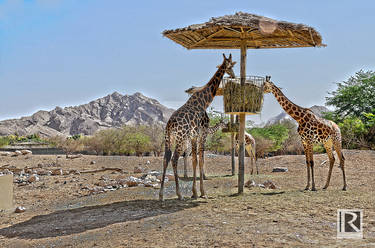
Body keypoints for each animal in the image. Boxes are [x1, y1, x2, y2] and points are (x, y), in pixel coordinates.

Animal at [159, 54, 236, 202]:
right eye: (230, 66)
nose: (234, 75)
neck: (204, 101)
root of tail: (170, 124)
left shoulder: (194, 136)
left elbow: (194, 160)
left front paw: (194, 192)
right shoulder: (203, 134)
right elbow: (201, 160)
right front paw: (202, 192)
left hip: (168, 138)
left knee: (166, 159)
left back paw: (161, 195)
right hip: (180, 138)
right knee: (174, 159)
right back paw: (179, 194)